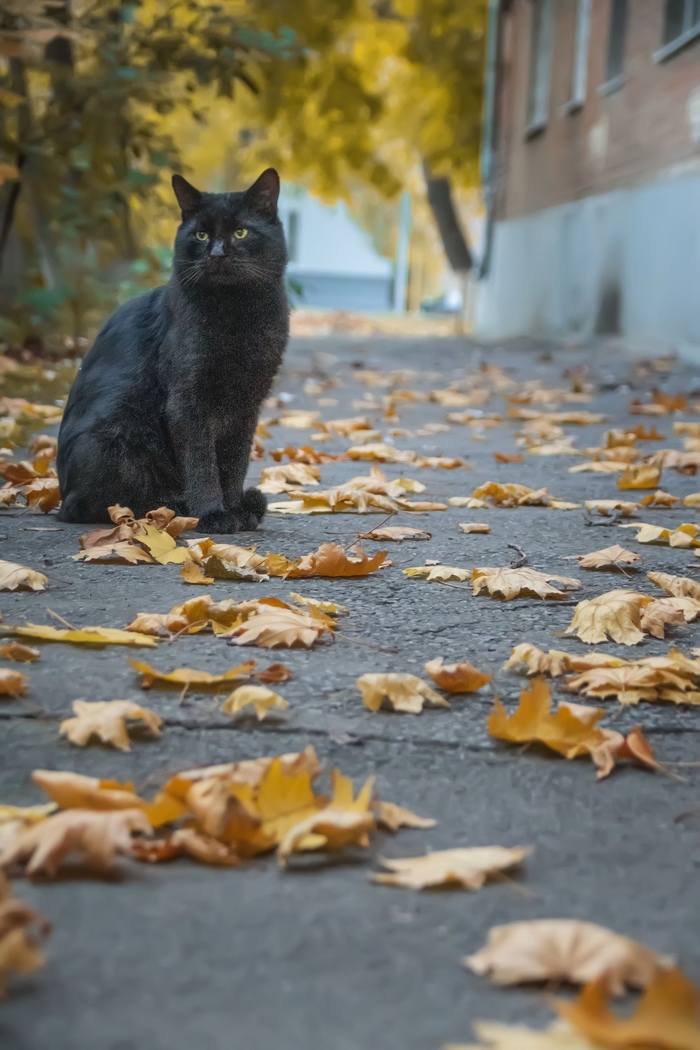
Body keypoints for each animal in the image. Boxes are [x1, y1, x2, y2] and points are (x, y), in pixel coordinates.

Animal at [54, 172, 289, 537]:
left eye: (241, 232)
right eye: (201, 234)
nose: (217, 254)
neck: (237, 312)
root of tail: (61, 493)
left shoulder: (247, 405)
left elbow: (234, 464)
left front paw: (235, 509)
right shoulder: (187, 401)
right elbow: (202, 464)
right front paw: (213, 514)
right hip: (118, 435)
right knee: (98, 506)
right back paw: (173, 507)